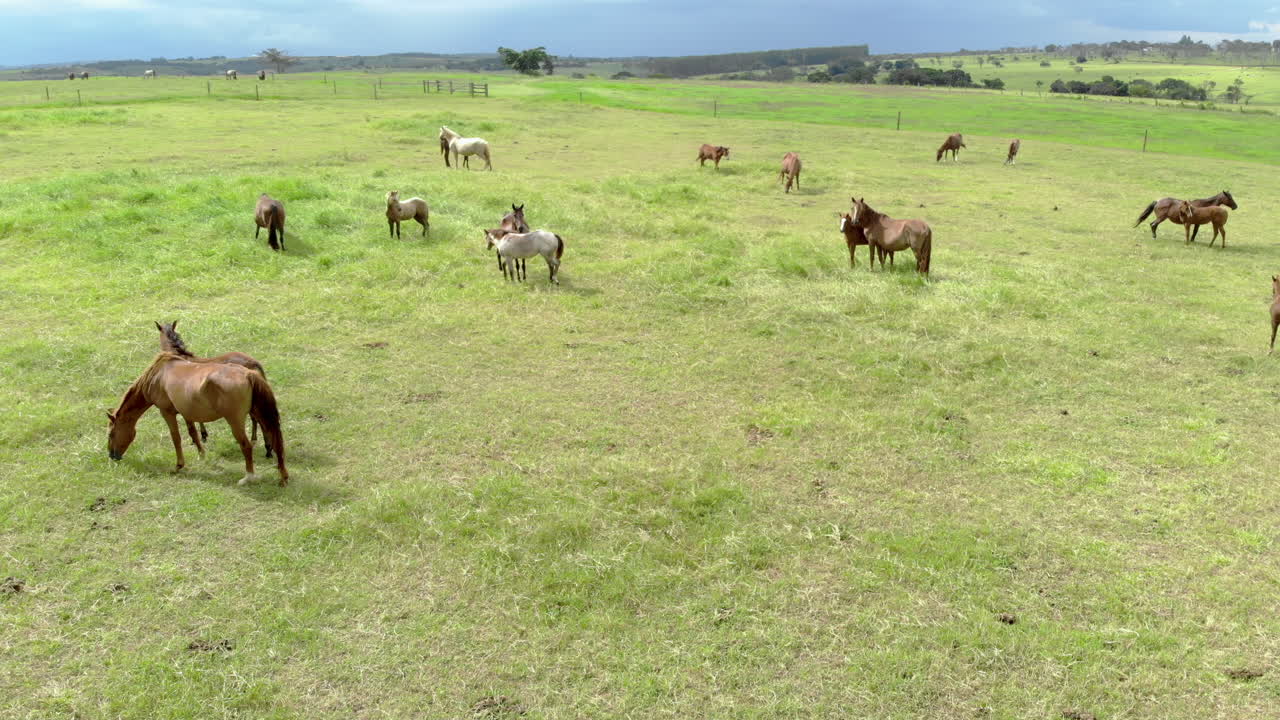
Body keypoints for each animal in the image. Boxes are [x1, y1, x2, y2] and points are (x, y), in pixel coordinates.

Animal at [107, 353, 287, 486]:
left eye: (111, 434)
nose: (112, 455)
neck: (157, 375)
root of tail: (249, 373)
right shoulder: (186, 412)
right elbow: (193, 432)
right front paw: (201, 454)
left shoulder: (167, 412)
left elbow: (176, 438)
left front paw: (179, 465)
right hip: (260, 414)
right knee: (275, 440)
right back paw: (283, 476)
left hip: (235, 421)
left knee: (246, 446)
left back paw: (248, 477)